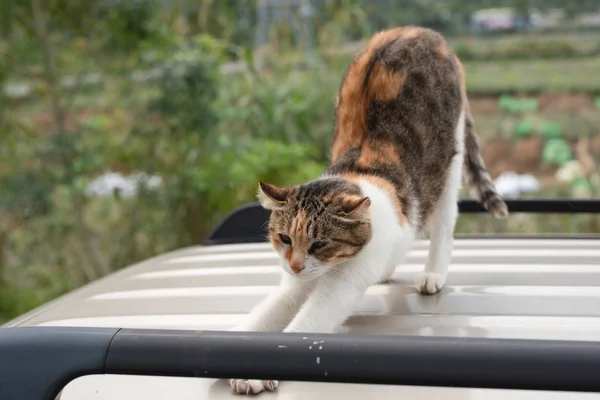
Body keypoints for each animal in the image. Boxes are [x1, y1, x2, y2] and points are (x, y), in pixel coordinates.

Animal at [229, 26, 506, 396]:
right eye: (285, 239)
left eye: (320, 244)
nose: (297, 266)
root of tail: (421, 30)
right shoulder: (291, 286)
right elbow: (264, 315)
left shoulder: (340, 287)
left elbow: (306, 321)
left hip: (449, 162)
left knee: (444, 225)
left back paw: (433, 274)